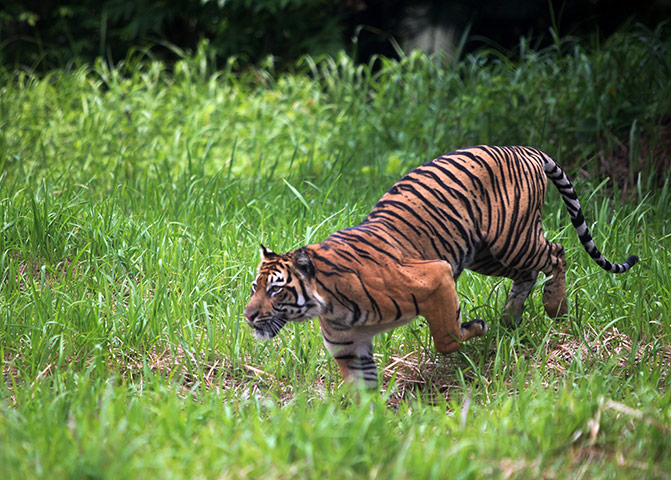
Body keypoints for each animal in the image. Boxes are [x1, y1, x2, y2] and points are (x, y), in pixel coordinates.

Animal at [243, 145, 639, 388]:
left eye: (276, 289)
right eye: (254, 288)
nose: (247, 316)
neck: (326, 304)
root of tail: (524, 149)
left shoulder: (436, 275)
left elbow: (446, 337)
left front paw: (475, 327)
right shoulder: (349, 349)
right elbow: (362, 392)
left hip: (513, 238)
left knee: (557, 252)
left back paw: (555, 308)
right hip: (486, 255)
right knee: (527, 275)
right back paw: (509, 320)